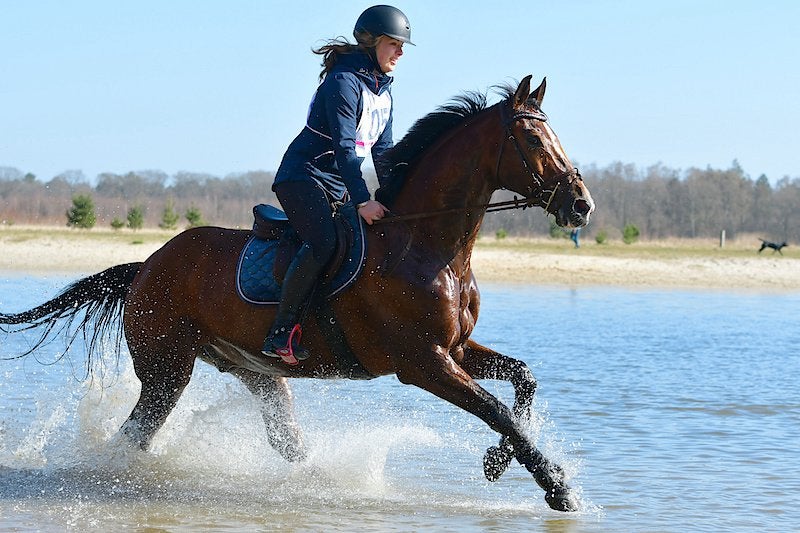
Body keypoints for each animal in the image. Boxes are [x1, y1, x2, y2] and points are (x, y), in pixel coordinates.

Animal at [0, 76, 594, 512]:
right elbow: (496, 408)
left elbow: (522, 381)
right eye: (534, 140)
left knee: (284, 438)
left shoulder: (455, 348)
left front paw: (498, 461)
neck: (426, 244)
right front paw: (557, 486)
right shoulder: (423, 361)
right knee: (135, 435)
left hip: (253, 371)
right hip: (167, 369)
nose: (581, 205)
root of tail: (147, 265)